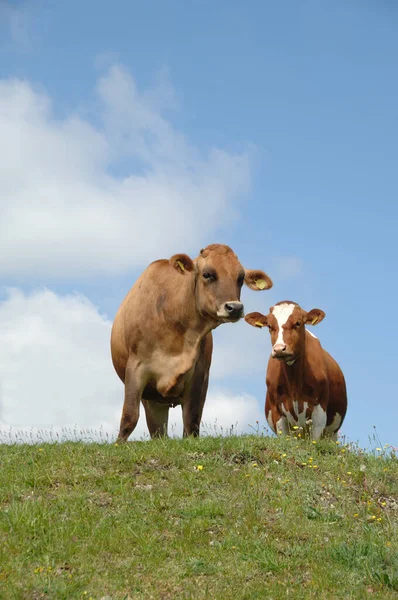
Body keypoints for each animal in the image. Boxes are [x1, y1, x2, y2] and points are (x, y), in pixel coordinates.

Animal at [112, 243, 274, 440]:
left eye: (241, 277)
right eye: (207, 274)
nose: (234, 307)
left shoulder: (199, 373)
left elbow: (192, 421)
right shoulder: (136, 367)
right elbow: (129, 417)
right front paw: (119, 443)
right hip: (151, 399)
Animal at [244, 302, 346, 438]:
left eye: (298, 323)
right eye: (269, 326)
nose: (279, 349)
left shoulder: (320, 410)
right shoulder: (276, 409)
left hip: (332, 433)